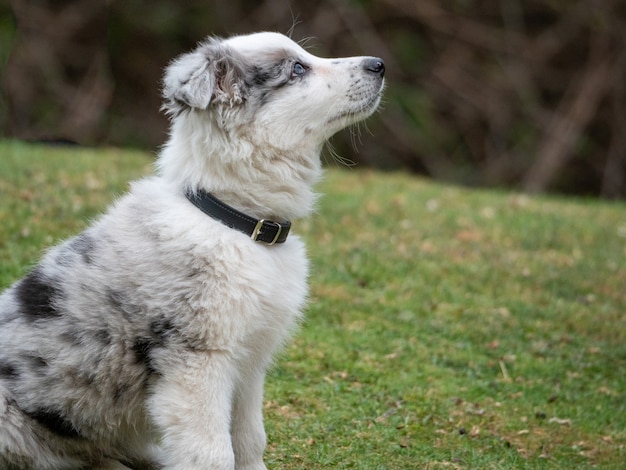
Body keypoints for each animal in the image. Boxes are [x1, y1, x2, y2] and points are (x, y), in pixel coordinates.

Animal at [0, 31, 382, 468]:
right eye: (297, 69)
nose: (379, 64)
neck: (235, 221)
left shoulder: (249, 363)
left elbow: (250, 438)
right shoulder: (198, 362)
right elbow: (212, 453)